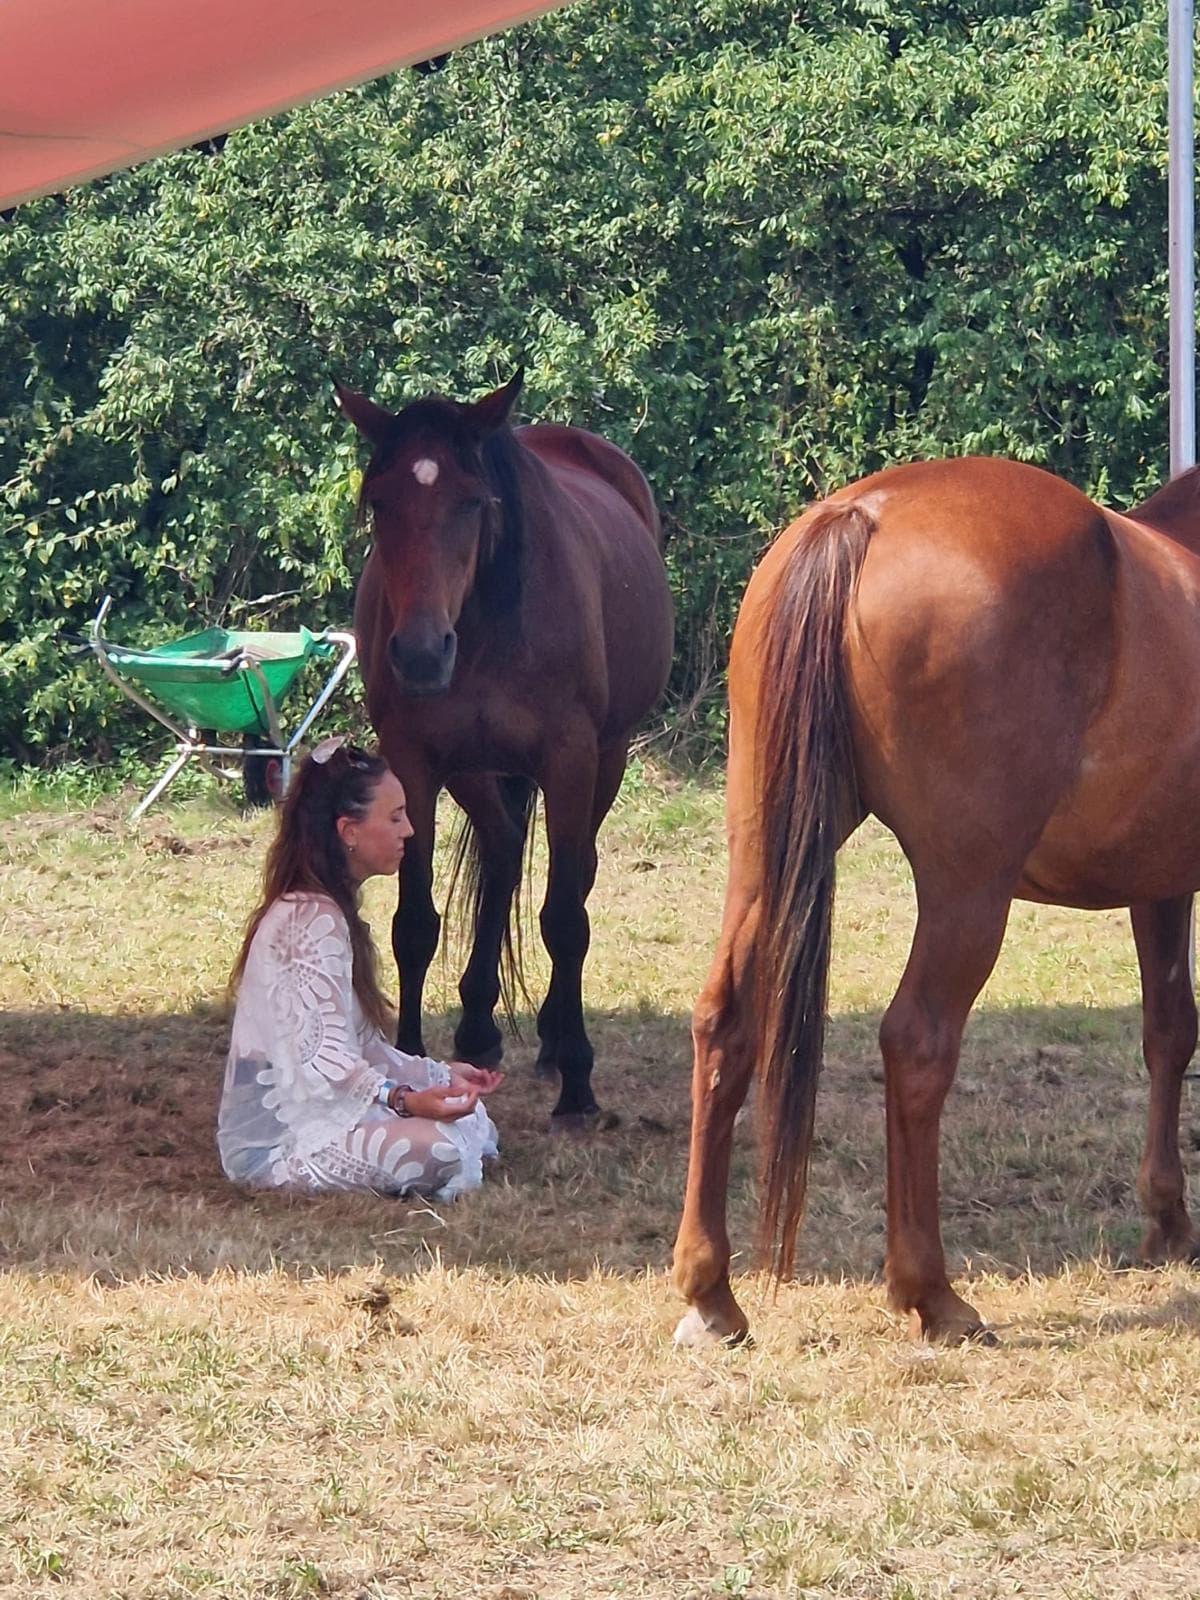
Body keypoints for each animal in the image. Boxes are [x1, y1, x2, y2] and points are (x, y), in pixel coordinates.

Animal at [336, 371, 674, 1124]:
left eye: (472, 501)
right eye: (380, 502)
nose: (421, 653)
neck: (485, 619)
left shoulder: (571, 758)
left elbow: (565, 919)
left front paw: (578, 1084)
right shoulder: (416, 761)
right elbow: (414, 923)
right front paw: (413, 1057)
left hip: (605, 760)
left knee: (572, 876)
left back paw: (551, 1038)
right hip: (475, 770)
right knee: (502, 851)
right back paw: (478, 1028)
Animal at [672, 453, 1200, 1344]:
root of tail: (861, 516)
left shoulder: (1160, 886)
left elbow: (1169, 1031)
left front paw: (1168, 1224)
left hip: (762, 855)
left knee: (726, 1021)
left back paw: (710, 1293)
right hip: (968, 890)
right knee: (917, 1041)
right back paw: (932, 1292)